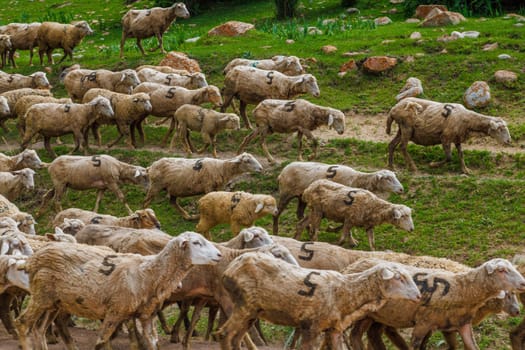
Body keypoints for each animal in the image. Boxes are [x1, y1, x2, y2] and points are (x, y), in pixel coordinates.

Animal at [14, 231, 221, 350]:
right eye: (196, 243)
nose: (219, 255)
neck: (148, 273)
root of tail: (34, 259)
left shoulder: (145, 316)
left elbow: (152, 344)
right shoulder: (115, 311)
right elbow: (100, 343)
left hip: (54, 303)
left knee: (39, 330)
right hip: (41, 297)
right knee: (22, 323)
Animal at [215, 252, 420, 350]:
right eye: (399, 278)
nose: (419, 296)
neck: (346, 292)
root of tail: (230, 268)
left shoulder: (334, 329)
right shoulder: (310, 327)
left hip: (252, 312)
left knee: (235, 339)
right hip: (244, 304)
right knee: (224, 334)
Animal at [272, 162, 404, 234]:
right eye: (388, 178)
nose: (401, 189)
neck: (358, 180)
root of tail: (281, 173)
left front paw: (333, 229)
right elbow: (345, 223)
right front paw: (334, 230)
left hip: (301, 196)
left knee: (299, 213)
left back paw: (308, 229)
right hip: (286, 193)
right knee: (277, 213)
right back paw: (276, 231)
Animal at [342, 258, 524, 350]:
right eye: (501, 270)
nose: (523, 283)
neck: (462, 288)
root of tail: (350, 266)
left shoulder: (461, 325)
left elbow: (471, 346)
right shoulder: (423, 323)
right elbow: (416, 345)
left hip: (371, 316)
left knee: (357, 336)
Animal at [384, 96, 512, 174]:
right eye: (500, 129)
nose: (508, 141)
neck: (468, 121)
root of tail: (393, 109)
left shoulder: (457, 138)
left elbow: (461, 154)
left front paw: (465, 170)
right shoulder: (445, 137)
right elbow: (449, 157)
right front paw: (433, 165)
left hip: (401, 129)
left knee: (392, 145)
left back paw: (391, 166)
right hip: (407, 127)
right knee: (402, 147)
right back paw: (413, 167)